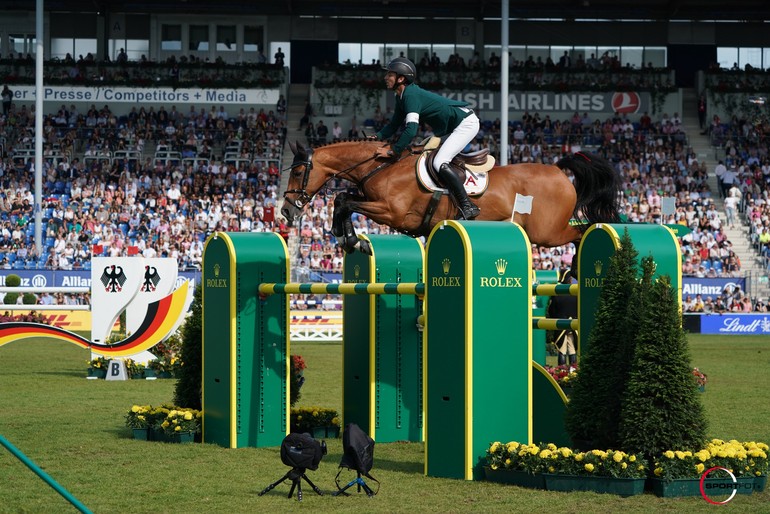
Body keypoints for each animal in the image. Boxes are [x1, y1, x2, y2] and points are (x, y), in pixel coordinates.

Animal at [280, 139, 620, 253]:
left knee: (580, 233)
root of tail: (559, 170)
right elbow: (343, 200)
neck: (381, 166)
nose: (285, 211)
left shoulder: (391, 212)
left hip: (547, 233)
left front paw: (350, 240)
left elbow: (346, 201)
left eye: (297, 173)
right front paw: (346, 237)